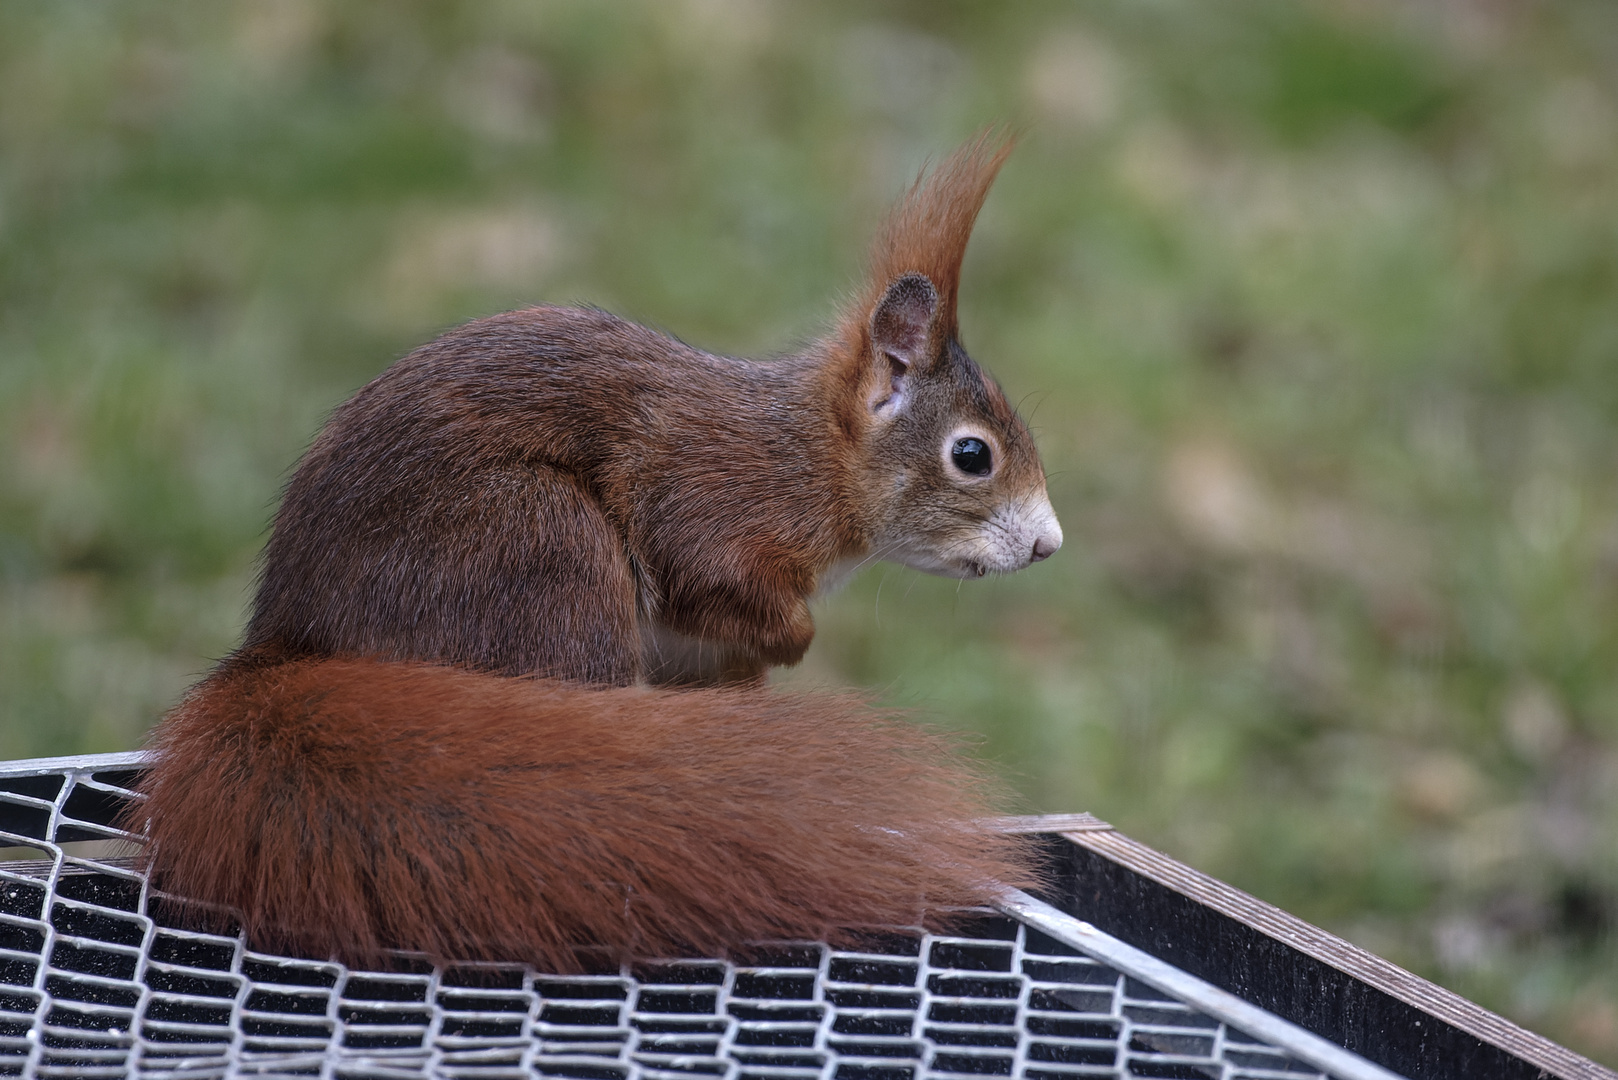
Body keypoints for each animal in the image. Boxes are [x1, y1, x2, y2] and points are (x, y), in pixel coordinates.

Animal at [126, 132, 1061, 971]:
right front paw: (795, 639)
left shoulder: (697, 649)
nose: (1049, 544)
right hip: (539, 549)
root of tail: (291, 646)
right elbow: (711, 576)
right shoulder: (710, 504)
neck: (809, 457)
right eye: (971, 455)